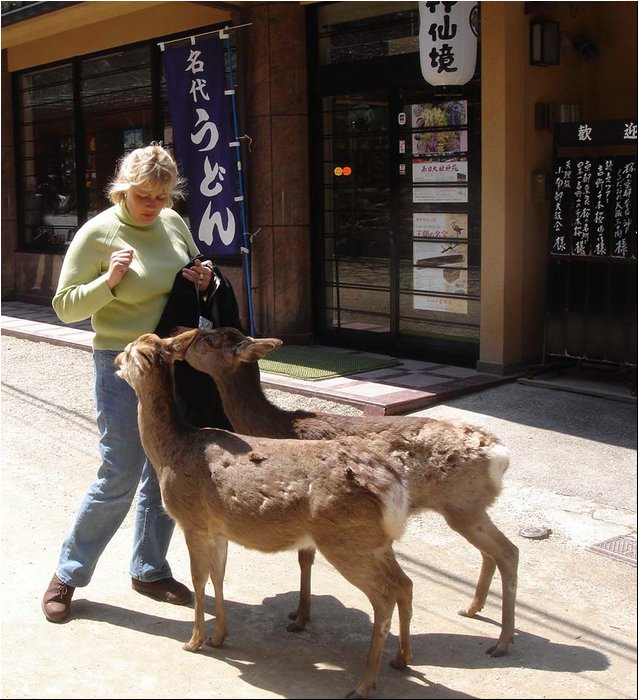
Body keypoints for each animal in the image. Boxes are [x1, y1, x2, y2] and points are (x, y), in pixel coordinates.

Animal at [115, 332, 416, 700]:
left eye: (130, 351)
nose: (114, 360)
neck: (170, 453)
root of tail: (394, 488)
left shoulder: (193, 521)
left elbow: (199, 580)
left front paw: (194, 641)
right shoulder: (219, 529)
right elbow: (218, 576)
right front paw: (219, 637)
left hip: (347, 540)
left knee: (384, 597)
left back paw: (363, 684)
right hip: (375, 542)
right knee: (404, 583)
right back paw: (401, 659)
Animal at [175, 326, 520, 660]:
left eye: (209, 339)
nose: (182, 332)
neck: (275, 427)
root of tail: (499, 453)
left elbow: (304, 558)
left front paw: (300, 618)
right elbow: (305, 559)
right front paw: (298, 614)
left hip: (462, 503)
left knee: (508, 552)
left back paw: (502, 642)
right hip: (470, 507)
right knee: (491, 552)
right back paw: (472, 609)